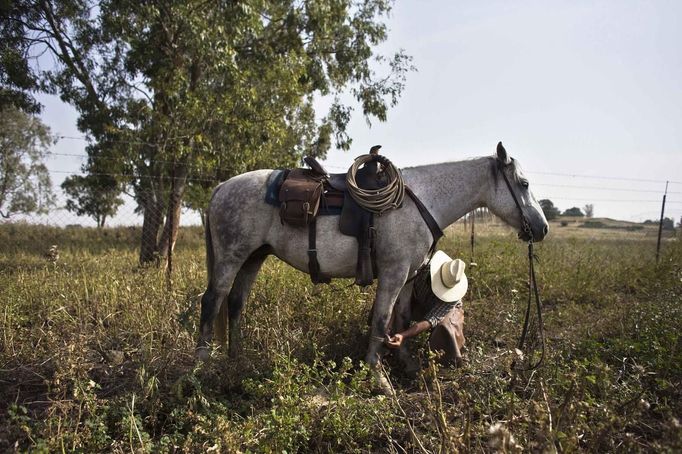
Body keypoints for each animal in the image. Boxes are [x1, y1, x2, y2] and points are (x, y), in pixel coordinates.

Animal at [195, 143, 548, 390]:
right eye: (524, 183)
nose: (542, 228)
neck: (421, 202)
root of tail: (221, 188)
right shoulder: (394, 273)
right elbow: (380, 319)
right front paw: (378, 377)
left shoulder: (409, 276)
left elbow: (401, 318)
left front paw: (406, 363)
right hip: (231, 256)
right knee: (212, 301)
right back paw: (202, 365)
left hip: (254, 257)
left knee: (236, 302)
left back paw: (237, 358)